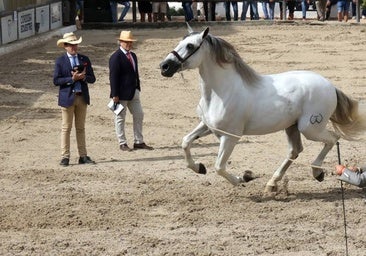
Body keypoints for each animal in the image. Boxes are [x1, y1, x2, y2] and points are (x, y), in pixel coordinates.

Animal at [159, 25, 364, 192]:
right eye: (180, 42)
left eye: (190, 46)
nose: (164, 66)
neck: (222, 92)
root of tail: (330, 86)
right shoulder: (208, 127)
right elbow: (185, 142)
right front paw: (200, 168)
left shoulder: (231, 137)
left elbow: (219, 167)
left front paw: (243, 178)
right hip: (292, 127)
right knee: (295, 151)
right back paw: (272, 184)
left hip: (310, 128)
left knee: (332, 139)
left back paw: (317, 173)